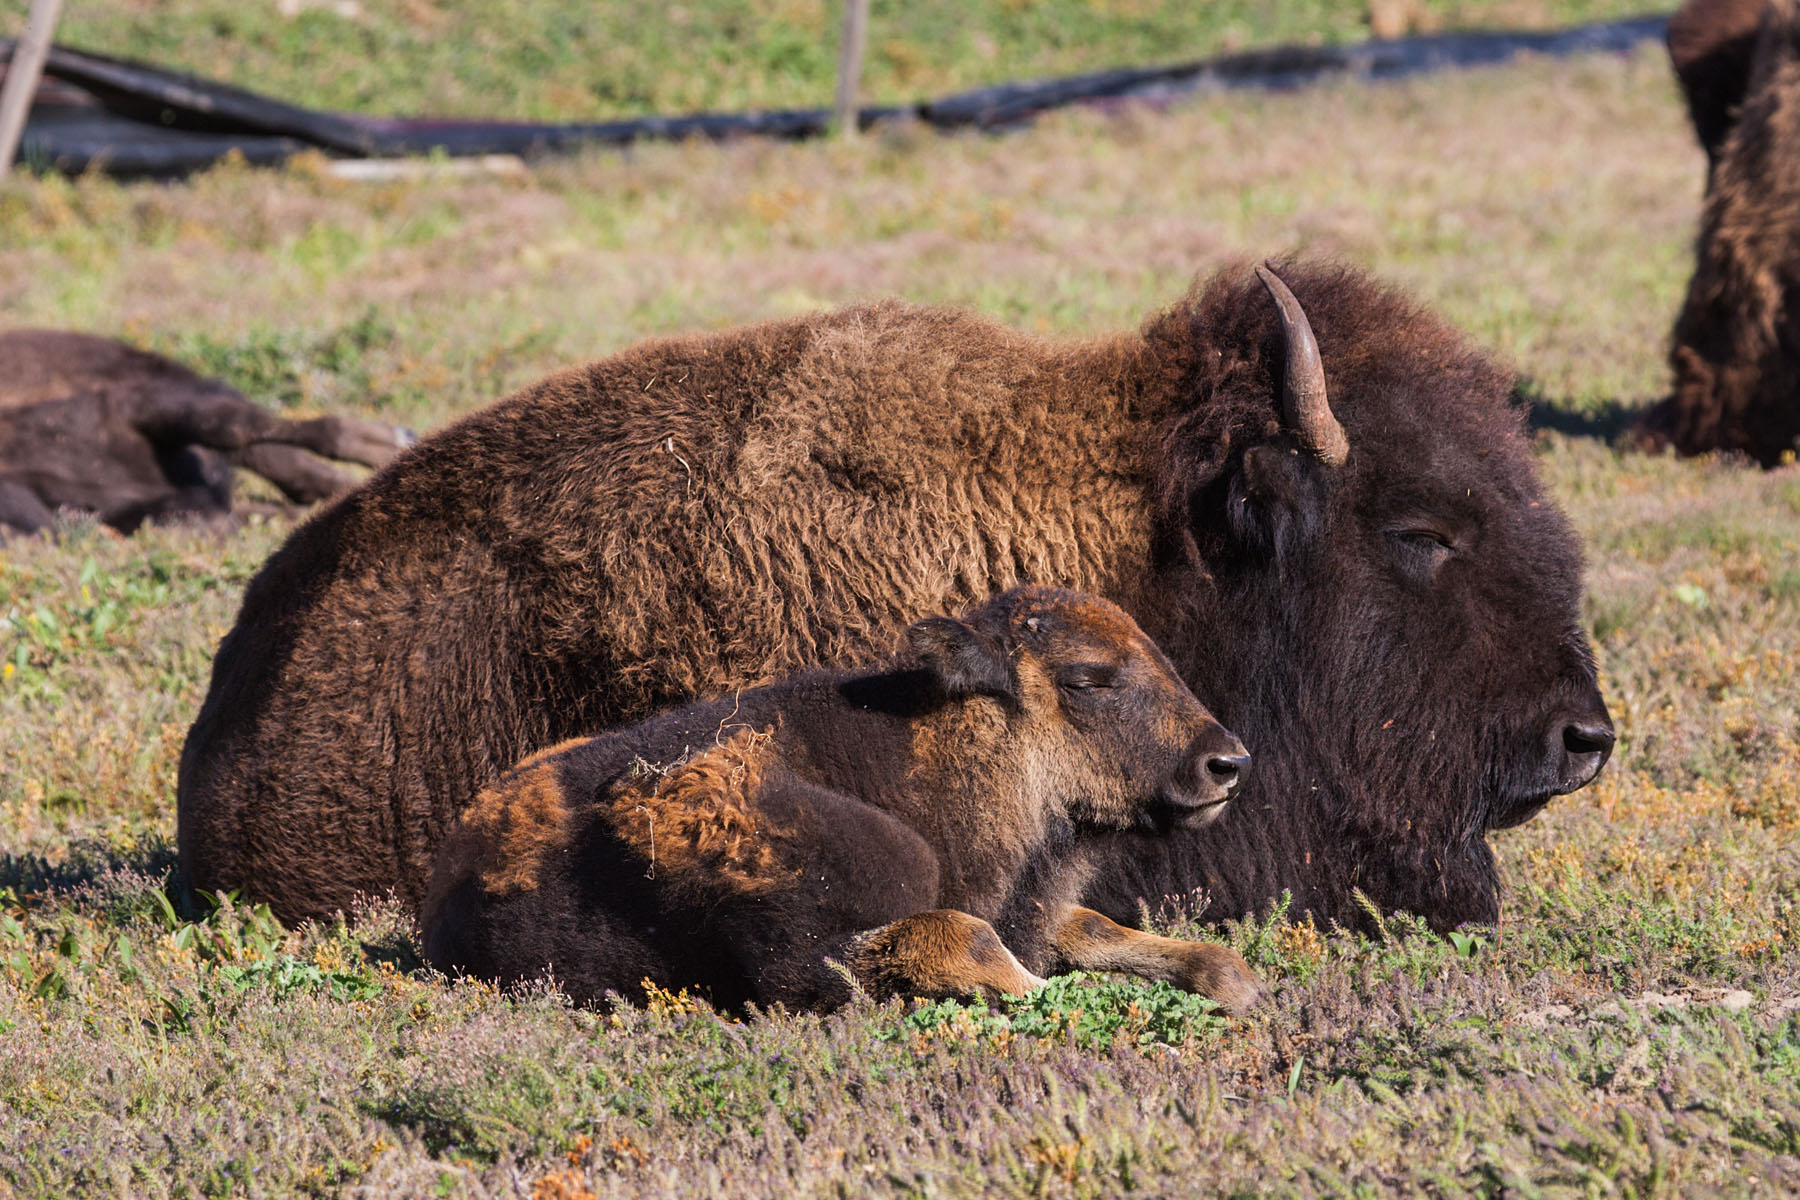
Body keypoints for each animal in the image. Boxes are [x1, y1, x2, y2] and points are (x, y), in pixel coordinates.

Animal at [422, 586, 1265, 1013]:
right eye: (1088, 677)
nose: (1228, 763)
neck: (926, 751)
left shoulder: (1032, 906)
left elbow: (1096, 928)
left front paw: (1237, 983)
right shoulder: (805, 956)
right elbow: (970, 943)